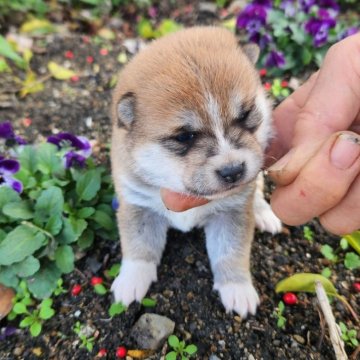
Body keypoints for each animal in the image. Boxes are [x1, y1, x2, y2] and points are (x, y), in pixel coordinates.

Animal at [109, 26, 282, 316]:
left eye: (246, 114)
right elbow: (138, 245)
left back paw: (264, 213)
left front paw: (237, 289)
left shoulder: (232, 211)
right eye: (185, 136)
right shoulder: (137, 205)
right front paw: (131, 281)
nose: (233, 171)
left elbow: (231, 251)